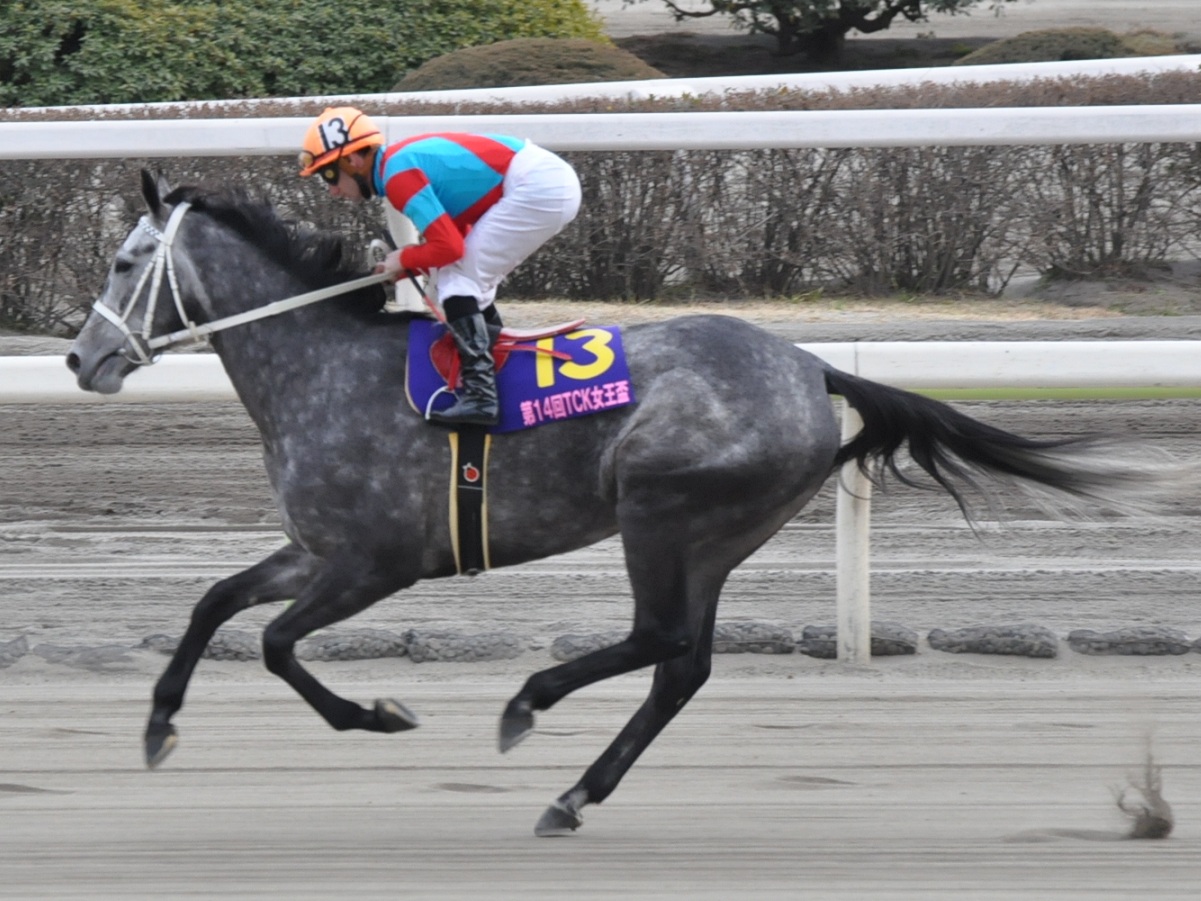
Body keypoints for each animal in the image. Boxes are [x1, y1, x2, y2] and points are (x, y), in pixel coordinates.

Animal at [67, 171, 1169, 836]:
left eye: (123, 261)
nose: (81, 359)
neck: (321, 367)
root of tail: (812, 367)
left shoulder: (375, 562)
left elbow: (274, 644)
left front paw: (377, 713)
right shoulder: (315, 549)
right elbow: (215, 602)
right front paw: (158, 728)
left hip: (661, 509)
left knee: (657, 639)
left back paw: (530, 706)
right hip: (717, 534)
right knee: (682, 664)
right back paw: (571, 790)